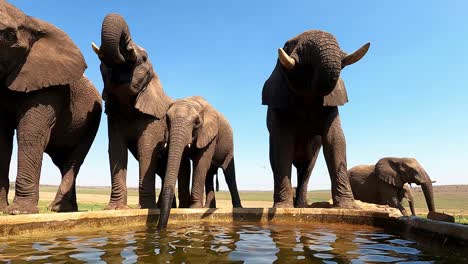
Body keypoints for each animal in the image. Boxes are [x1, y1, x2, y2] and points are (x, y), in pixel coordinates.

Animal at [91, 13, 188, 209]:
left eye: (143, 57)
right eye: (101, 66)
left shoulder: (153, 118)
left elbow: (146, 149)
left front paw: (147, 208)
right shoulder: (114, 115)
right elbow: (116, 149)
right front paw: (115, 209)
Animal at [159, 96, 243, 229]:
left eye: (197, 122)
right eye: (167, 119)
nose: (161, 229)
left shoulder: (210, 134)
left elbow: (201, 163)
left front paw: (194, 208)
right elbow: (183, 165)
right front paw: (184, 208)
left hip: (229, 145)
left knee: (229, 174)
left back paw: (238, 208)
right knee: (209, 175)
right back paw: (208, 207)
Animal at [264, 29, 370, 208]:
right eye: (287, 45)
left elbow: (335, 140)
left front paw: (348, 207)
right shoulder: (278, 104)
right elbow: (282, 144)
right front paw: (282, 208)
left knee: (306, 170)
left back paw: (301, 206)